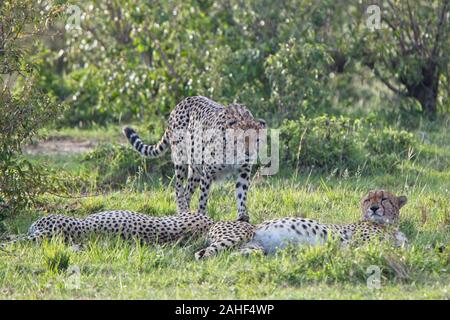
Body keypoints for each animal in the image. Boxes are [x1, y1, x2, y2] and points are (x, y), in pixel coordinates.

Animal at [193, 190, 408, 260]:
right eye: (368, 199)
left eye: (384, 198)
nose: (373, 208)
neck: (389, 226)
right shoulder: (363, 242)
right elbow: (382, 247)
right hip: (239, 234)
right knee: (202, 254)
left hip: (254, 248)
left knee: (231, 254)